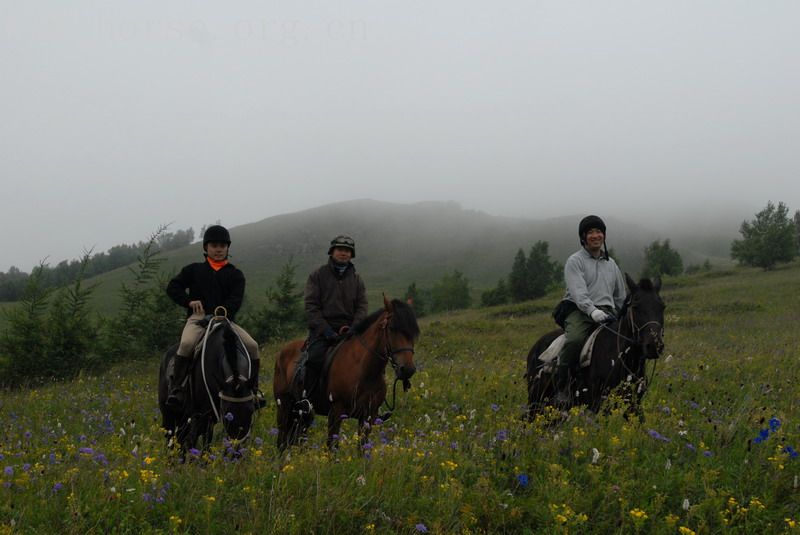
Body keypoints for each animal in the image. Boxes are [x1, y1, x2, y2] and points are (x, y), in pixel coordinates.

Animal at [156, 314, 256, 456]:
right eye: (226, 412)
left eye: (251, 410)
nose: (236, 453)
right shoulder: (205, 416)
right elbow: (205, 445)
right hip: (170, 415)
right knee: (172, 439)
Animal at [272, 298, 418, 452]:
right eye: (391, 329)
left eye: (413, 333)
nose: (408, 369)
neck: (363, 371)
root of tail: (282, 352)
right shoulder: (336, 413)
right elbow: (332, 447)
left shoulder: (367, 417)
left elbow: (362, 448)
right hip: (284, 407)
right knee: (282, 441)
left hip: (303, 417)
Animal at [524, 276, 664, 418]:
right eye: (635, 307)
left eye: (662, 307)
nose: (654, 346)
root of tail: (535, 349)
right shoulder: (598, 404)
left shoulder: (633, 404)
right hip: (536, 402)